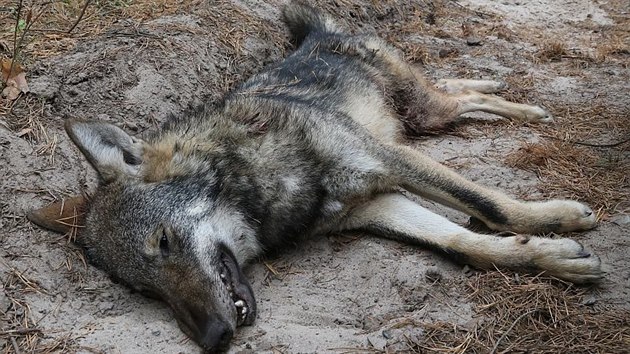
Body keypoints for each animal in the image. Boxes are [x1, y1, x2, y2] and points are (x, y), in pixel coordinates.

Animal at [27, 2, 604, 352]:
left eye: (165, 242)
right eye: (143, 289)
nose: (214, 338)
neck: (266, 180)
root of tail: (319, 35)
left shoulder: (387, 160)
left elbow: (489, 205)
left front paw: (557, 218)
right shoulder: (377, 205)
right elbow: (465, 245)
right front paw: (549, 258)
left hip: (421, 116)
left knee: (461, 98)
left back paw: (526, 109)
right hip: (425, 118)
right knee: (461, 94)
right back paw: (499, 90)